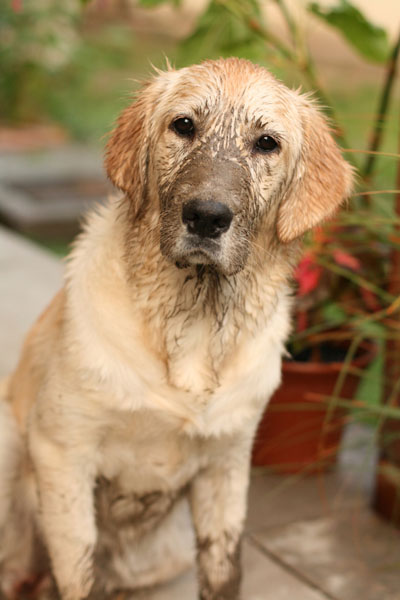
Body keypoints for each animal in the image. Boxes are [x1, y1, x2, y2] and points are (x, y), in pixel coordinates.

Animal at [0, 57, 352, 600]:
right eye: (183, 125)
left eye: (266, 143)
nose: (207, 217)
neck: (196, 322)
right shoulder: (63, 450)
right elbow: (77, 570)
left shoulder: (227, 463)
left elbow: (225, 571)